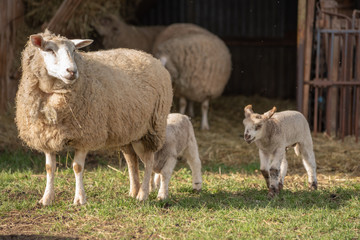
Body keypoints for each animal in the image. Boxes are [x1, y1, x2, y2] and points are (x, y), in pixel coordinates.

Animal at [14, 30, 172, 205]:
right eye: (49, 49)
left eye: (74, 50)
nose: (72, 71)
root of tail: (150, 57)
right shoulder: (46, 137)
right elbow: (50, 168)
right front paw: (46, 199)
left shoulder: (85, 135)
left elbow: (77, 167)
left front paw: (79, 199)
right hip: (128, 132)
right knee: (132, 160)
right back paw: (133, 191)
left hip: (150, 130)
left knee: (149, 161)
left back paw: (142, 194)